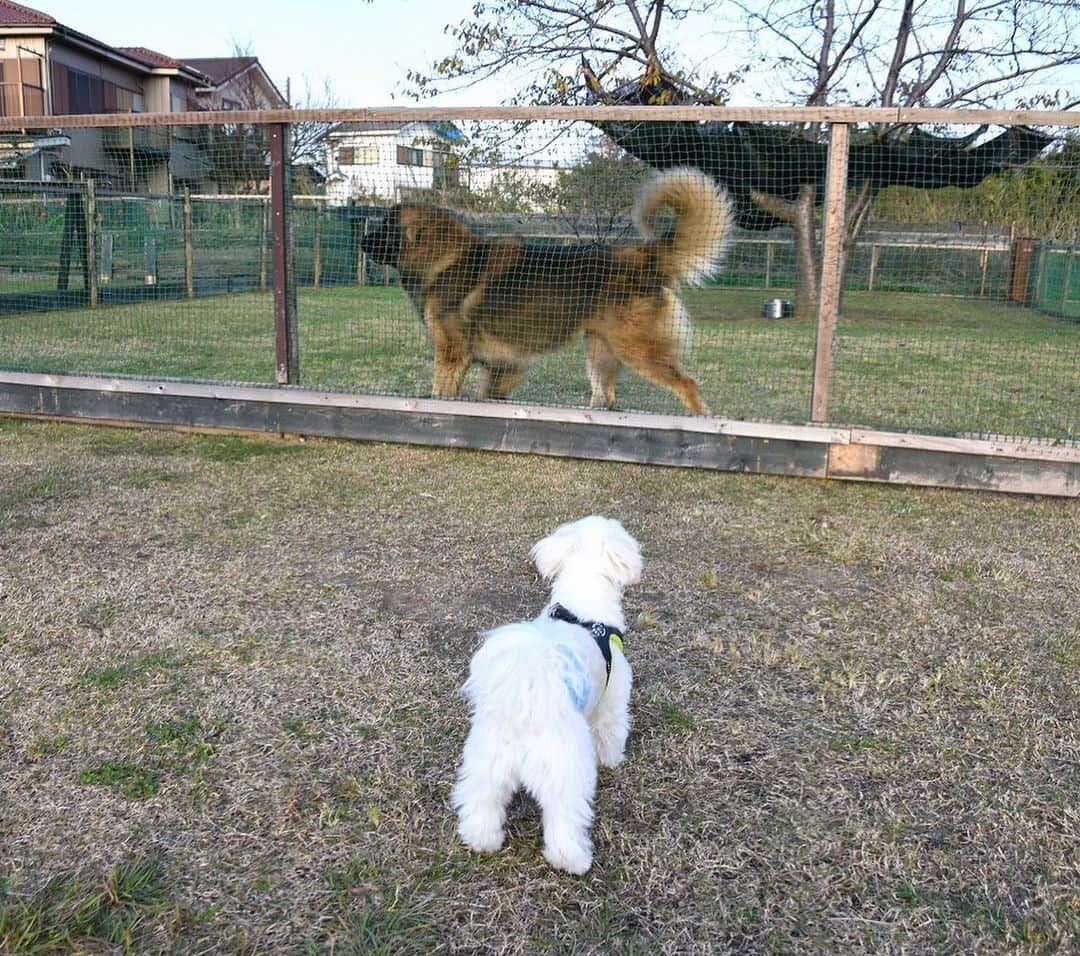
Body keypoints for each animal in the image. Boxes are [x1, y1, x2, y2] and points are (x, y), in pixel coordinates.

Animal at [358, 166, 730, 412]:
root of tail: (643, 256)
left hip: (637, 348)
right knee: (606, 397)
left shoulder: (453, 354)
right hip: (600, 352)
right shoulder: (504, 365)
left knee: (687, 385)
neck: (445, 257)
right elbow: (488, 393)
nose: (361, 241)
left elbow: (441, 393)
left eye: (386, 226)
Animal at [449, 514, 639, 872]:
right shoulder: (612, 701)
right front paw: (613, 761)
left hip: (486, 763)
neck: (582, 612)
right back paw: (574, 860)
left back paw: (482, 840)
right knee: (564, 820)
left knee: (481, 802)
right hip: (566, 771)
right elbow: (611, 733)